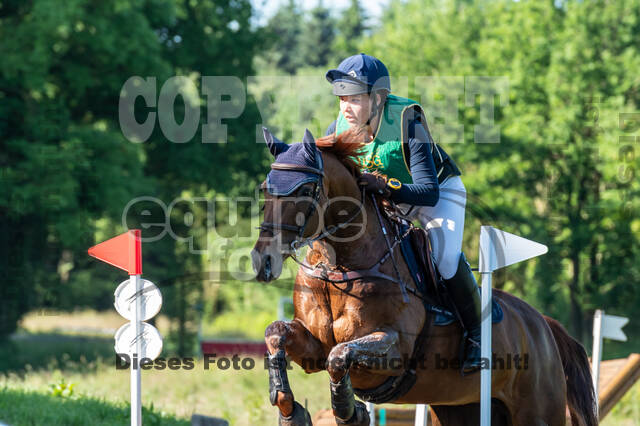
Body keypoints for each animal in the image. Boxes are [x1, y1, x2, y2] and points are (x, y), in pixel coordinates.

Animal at [251, 126, 597, 426]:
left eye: (306, 189)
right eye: (266, 189)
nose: (263, 261)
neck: (339, 268)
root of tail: (544, 325)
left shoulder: (393, 350)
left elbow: (340, 356)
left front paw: (351, 413)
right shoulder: (314, 348)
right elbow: (276, 333)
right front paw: (290, 411)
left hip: (537, 412)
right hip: (461, 409)